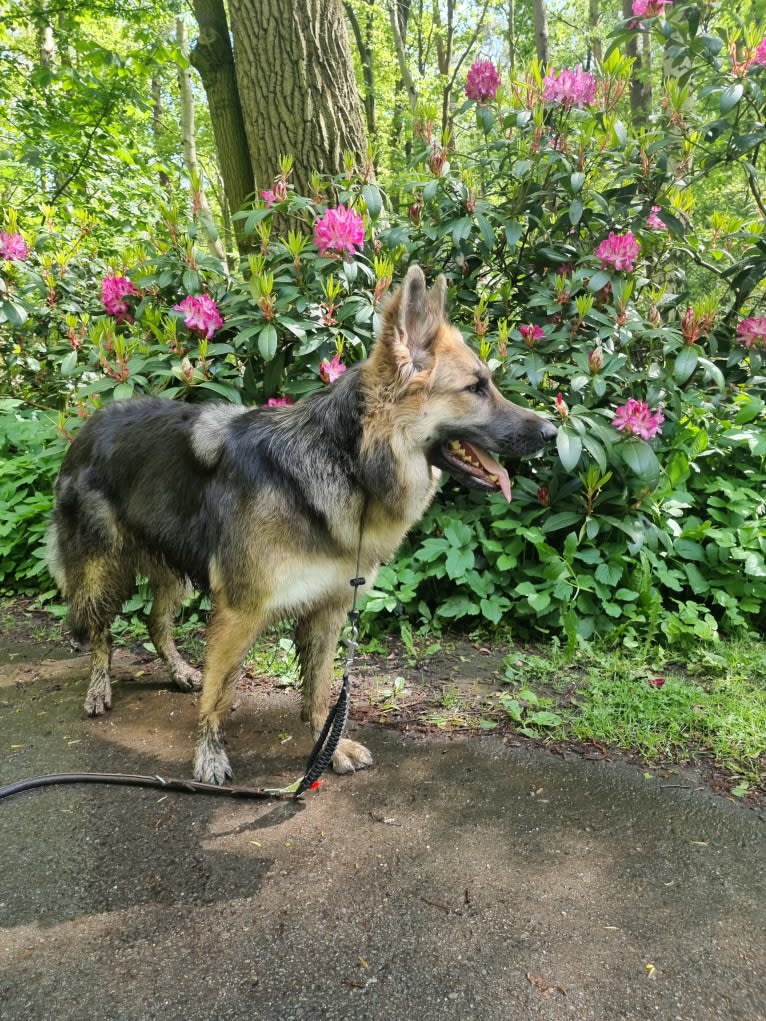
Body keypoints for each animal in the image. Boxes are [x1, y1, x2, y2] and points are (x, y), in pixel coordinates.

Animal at [51, 263, 559, 780]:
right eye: (476, 388)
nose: (553, 432)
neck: (350, 462)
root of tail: (89, 424)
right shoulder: (239, 613)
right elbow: (220, 693)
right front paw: (208, 756)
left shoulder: (329, 610)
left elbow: (320, 690)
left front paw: (327, 749)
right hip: (100, 574)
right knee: (101, 634)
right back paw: (99, 689)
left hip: (173, 573)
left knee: (156, 624)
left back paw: (177, 672)